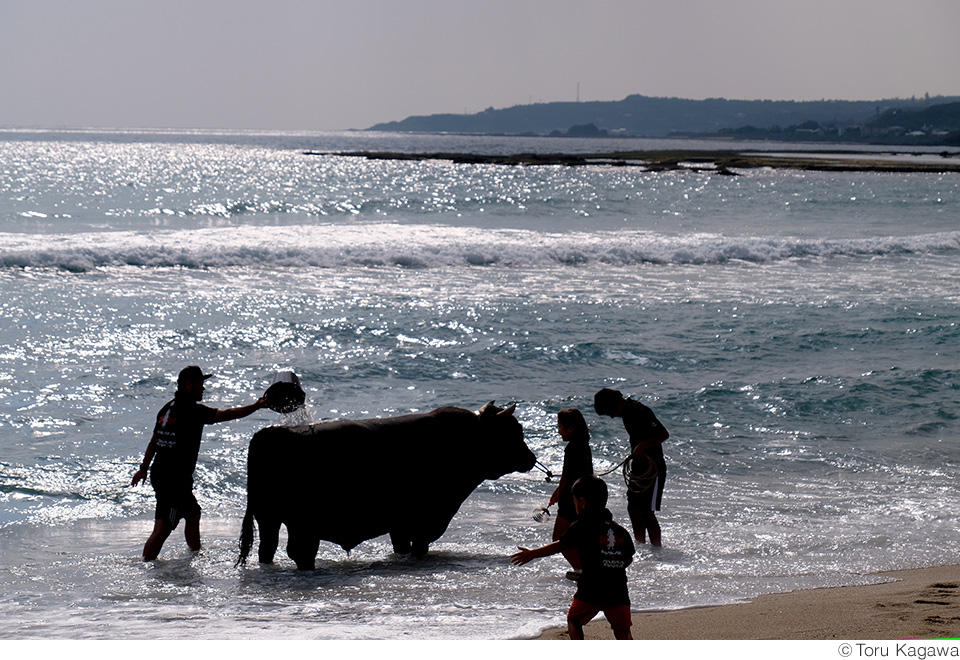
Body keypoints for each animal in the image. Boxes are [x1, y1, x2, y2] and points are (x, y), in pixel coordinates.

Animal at [232, 400, 532, 568]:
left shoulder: (400, 525)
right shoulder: (422, 522)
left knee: (268, 550)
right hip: (302, 523)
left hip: (268, 518)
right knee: (300, 552)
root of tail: (272, 433)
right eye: (512, 431)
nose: (532, 458)